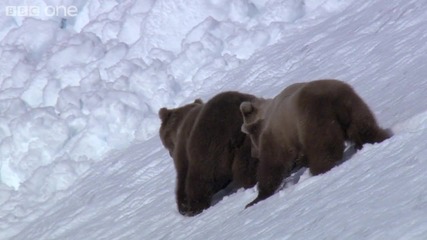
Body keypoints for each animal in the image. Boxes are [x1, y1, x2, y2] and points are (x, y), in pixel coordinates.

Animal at [241, 79, 392, 207]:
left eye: (250, 138)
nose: (253, 153)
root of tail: (334, 99)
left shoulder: (278, 135)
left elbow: (272, 164)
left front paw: (256, 198)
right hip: (353, 106)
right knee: (365, 129)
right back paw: (379, 139)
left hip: (314, 118)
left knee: (322, 149)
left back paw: (319, 170)